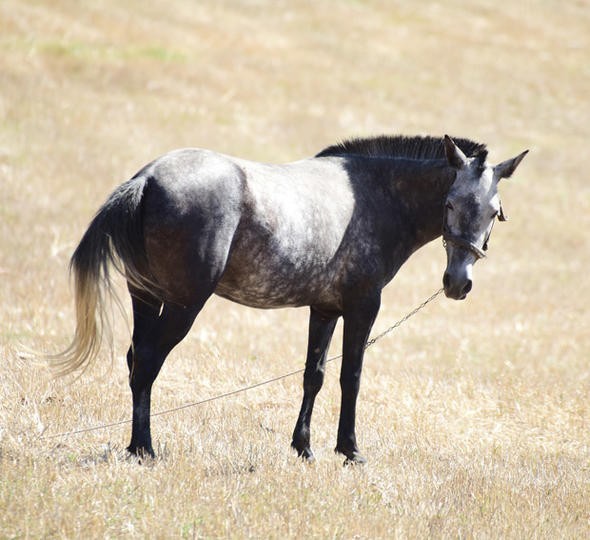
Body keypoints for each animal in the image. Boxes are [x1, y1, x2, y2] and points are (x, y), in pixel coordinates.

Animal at [54, 135, 528, 464]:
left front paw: (304, 447)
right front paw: (349, 450)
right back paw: (145, 449)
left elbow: (313, 375)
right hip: (183, 305)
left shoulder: (325, 308)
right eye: (448, 204)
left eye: (493, 212)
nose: (457, 282)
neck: (375, 195)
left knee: (136, 360)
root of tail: (147, 178)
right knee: (149, 362)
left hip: (146, 298)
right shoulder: (363, 306)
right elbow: (351, 377)